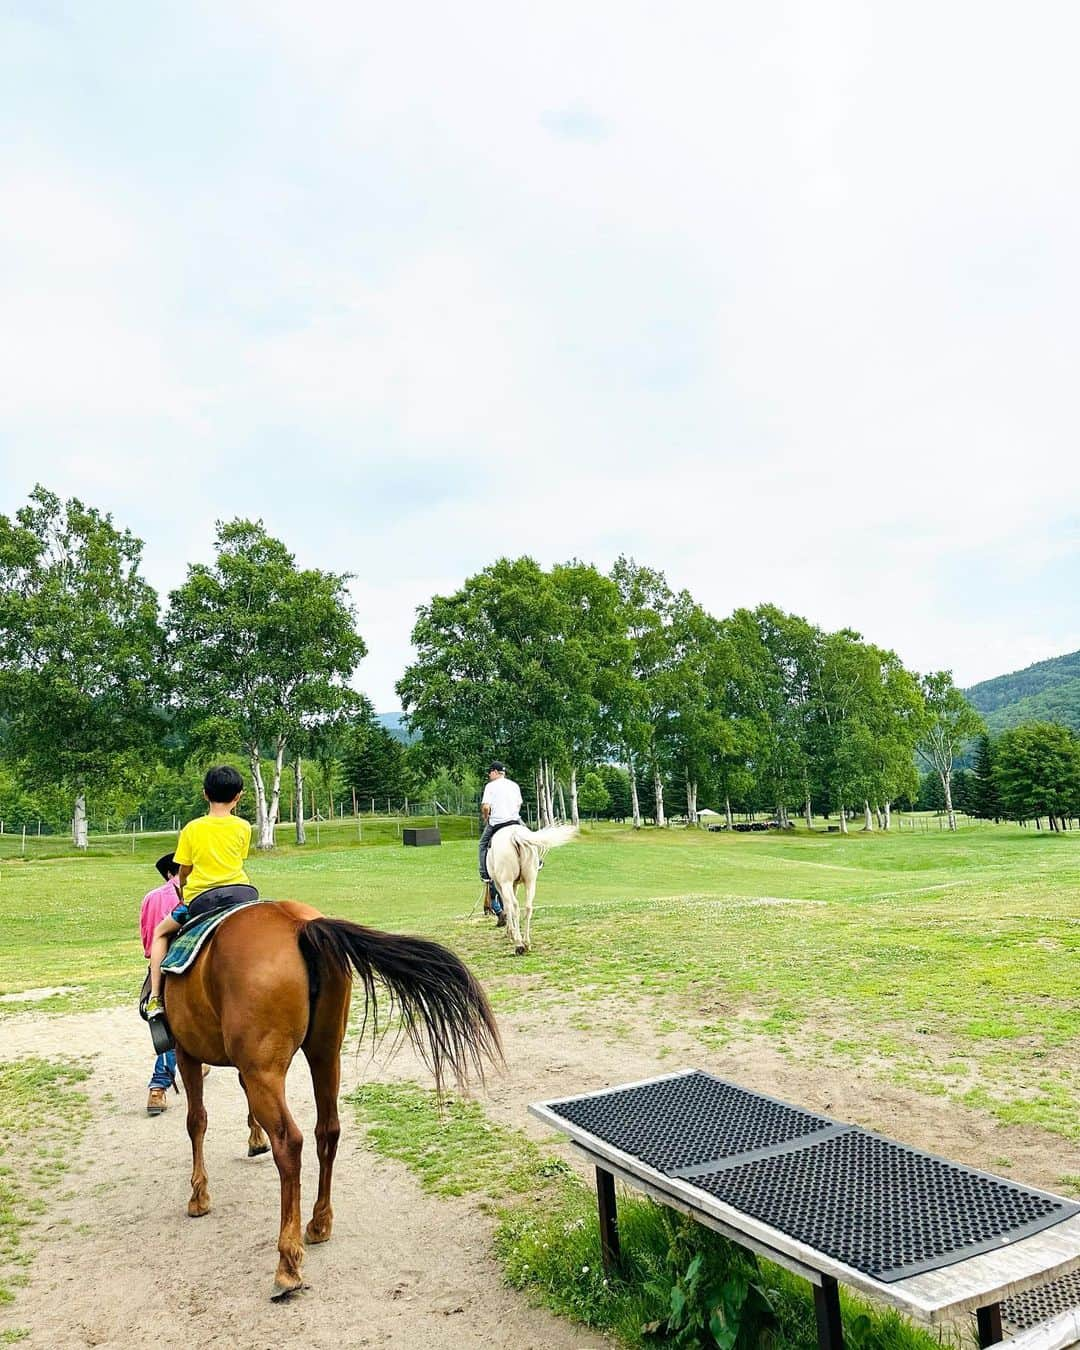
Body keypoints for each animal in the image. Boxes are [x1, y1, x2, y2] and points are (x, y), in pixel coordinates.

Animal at [164, 896, 502, 1296]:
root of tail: (297, 923)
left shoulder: (187, 1053)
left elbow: (196, 1122)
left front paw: (199, 1195)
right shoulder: (237, 1064)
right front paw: (253, 1139)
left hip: (268, 1068)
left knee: (289, 1143)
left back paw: (288, 1260)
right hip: (325, 1053)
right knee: (328, 1130)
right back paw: (319, 1222)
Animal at [486, 820, 577, 961]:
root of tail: (515, 836)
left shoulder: (500, 884)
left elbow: (506, 906)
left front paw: (510, 932)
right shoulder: (515, 884)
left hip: (506, 882)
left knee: (515, 906)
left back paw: (519, 944)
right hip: (530, 881)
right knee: (528, 907)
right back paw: (527, 942)